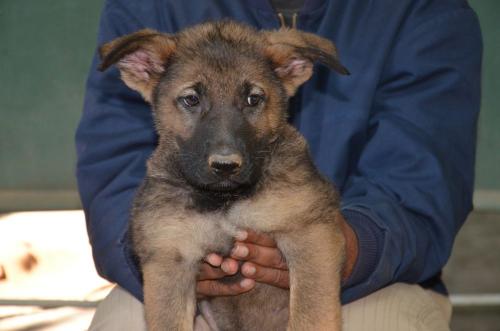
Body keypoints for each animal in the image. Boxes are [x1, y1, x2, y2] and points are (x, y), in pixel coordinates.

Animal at [99, 20, 350, 331]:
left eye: (253, 99)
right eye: (191, 100)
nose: (225, 165)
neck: (224, 200)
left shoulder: (311, 233)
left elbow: (310, 315)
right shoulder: (169, 259)